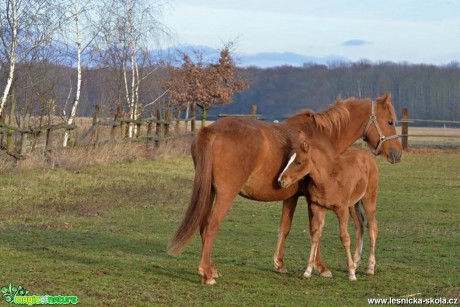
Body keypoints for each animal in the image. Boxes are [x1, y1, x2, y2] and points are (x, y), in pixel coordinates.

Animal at [167, 92, 400, 286]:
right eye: (390, 121)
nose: (397, 154)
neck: (321, 137)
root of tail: (210, 130)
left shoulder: (292, 196)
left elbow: (285, 227)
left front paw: (280, 264)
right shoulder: (310, 199)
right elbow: (315, 230)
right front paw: (321, 268)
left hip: (210, 191)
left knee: (203, 224)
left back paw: (212, 269)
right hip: (225, 194)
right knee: (212, 225)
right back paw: (207, 273)